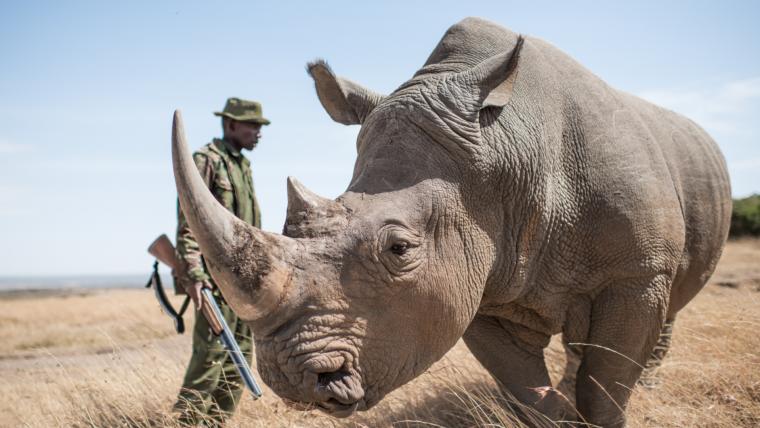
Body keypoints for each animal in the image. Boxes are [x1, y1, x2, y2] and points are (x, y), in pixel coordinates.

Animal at [171, 15, 732, 424]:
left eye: (399, 249)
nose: (290, 380)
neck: (505, 153)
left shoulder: (636, 273)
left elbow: (606, 386)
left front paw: (595, 410)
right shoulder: (476, 280)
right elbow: (526, 390)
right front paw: (556, 412)